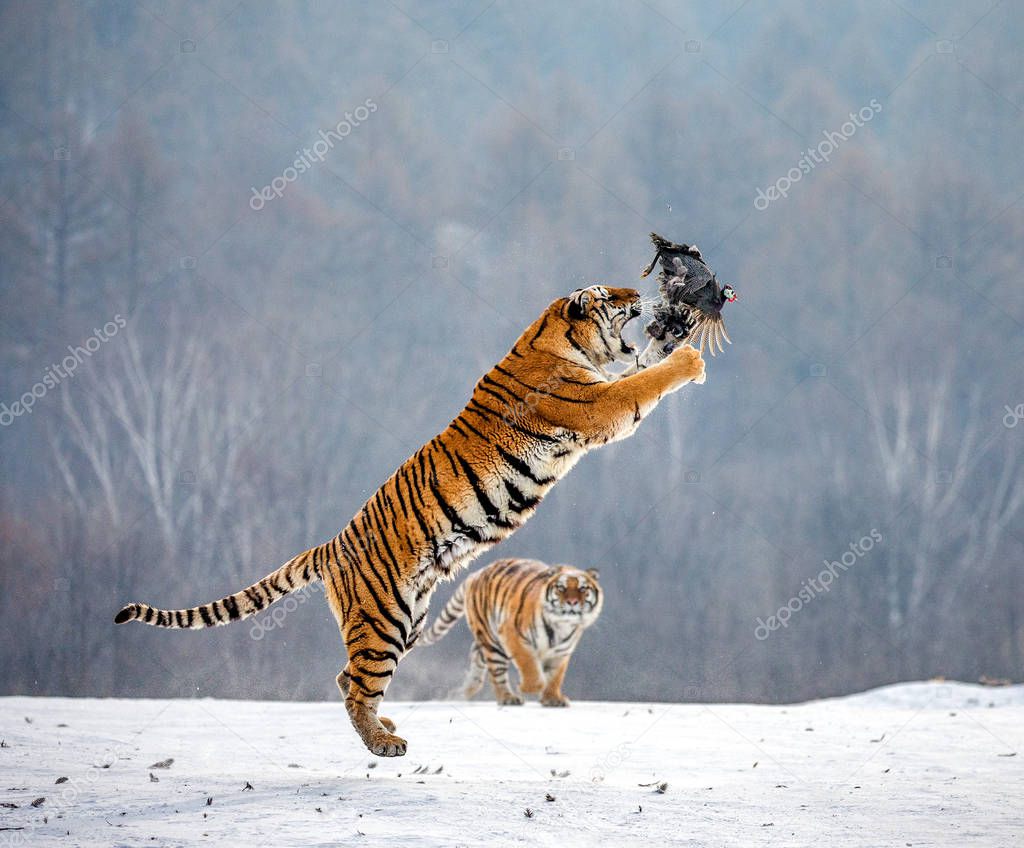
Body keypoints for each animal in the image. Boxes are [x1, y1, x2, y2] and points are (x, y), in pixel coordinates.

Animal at [112, 284, 704, 753]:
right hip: (384, 622)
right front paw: (690, 358)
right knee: (357, 686)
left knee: (345, 678)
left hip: (407, 621)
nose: (639, 293)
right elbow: (642, 383)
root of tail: (330, 545)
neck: (555, 338)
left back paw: (387, 725)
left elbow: (641, 369)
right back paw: (383, 744)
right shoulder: (598, 406)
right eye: (610, 295)